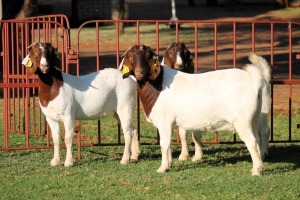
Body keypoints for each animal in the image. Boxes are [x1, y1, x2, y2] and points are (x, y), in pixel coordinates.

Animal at [120, 44, 270, 175]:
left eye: (147, 56)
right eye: (131, 55)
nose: (140, 72)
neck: (157, 84)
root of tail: (253, 81)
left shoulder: (164, 122)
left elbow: (164, 144)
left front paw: (162, 168)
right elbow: (169, 143)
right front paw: (169, 164)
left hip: (242, 121)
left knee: (252, 141)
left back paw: (256, 171)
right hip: (253, 118)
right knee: (257, 138)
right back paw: (259, 165)